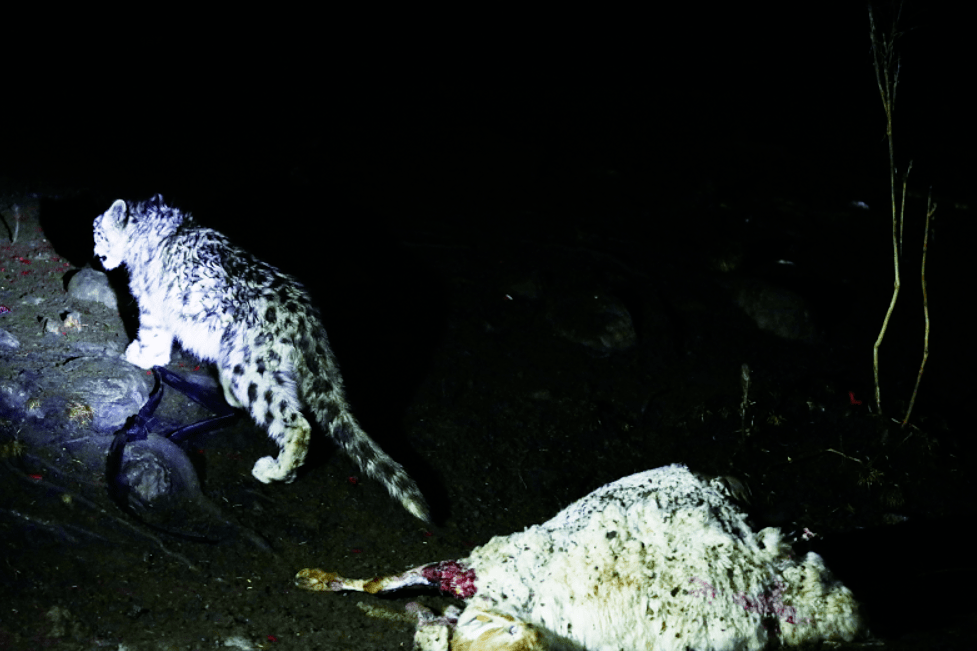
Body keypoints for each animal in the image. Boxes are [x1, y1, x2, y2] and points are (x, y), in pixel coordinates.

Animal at [93, 194, 428, 524]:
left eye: (98, 232)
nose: (96, 256)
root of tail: (304, 316)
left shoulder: (151, 306)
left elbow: (152, 336)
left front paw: (138, 354)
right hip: (269, 369)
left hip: (251, 370)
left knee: (296, 424)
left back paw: (273, 470)